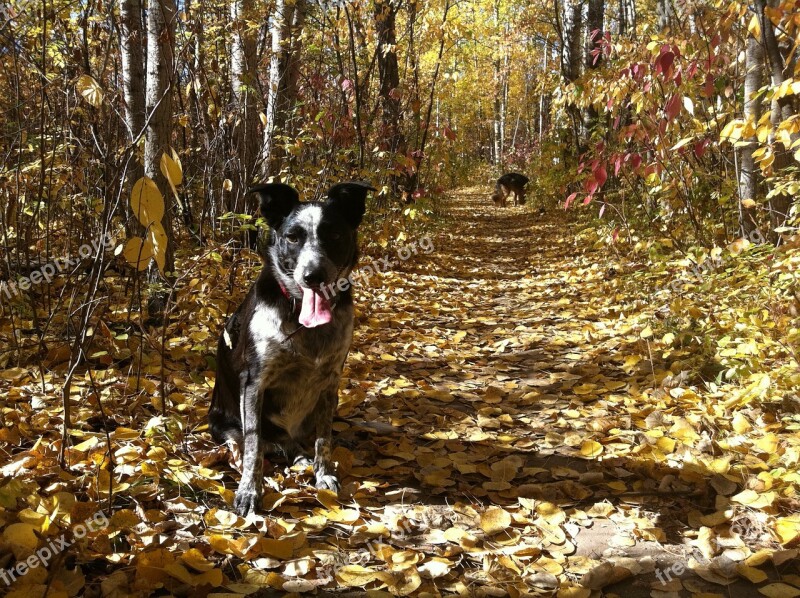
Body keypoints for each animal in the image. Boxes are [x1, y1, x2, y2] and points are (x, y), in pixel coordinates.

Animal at [211, 179, 376, 516]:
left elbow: (324, 440)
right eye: (292, 237)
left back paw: (303, 457)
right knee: (255, 443)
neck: (300, 317)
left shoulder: (330, 382)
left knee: (297, 442)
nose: (313, 276)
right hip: (224, 423)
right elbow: (253, 447)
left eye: (334, 234)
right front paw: (249, 492)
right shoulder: (254, 383)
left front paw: (323, 475)